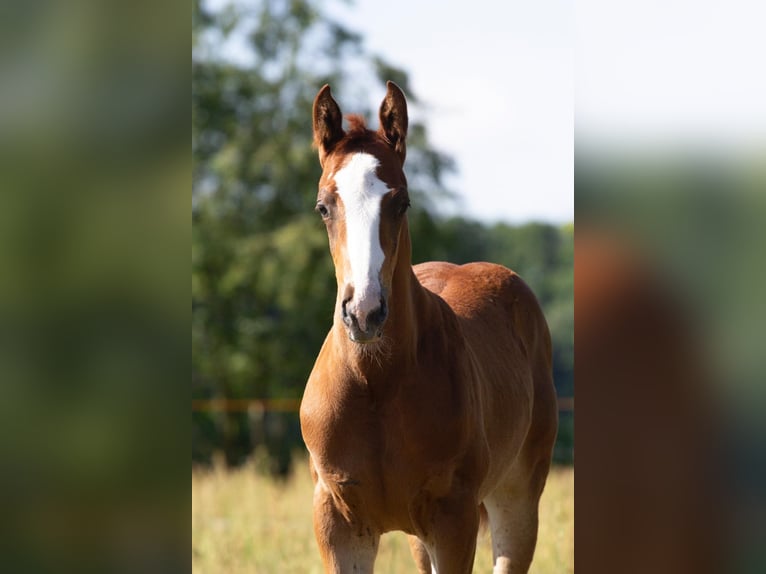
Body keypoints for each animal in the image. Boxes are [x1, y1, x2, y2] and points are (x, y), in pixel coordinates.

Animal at [298, 82, 560, 574]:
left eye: (401, 203)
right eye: (323, 207)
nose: (364, 312)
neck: (376, 383)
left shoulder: (453, 518)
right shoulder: (338, 522)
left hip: (516, 499)